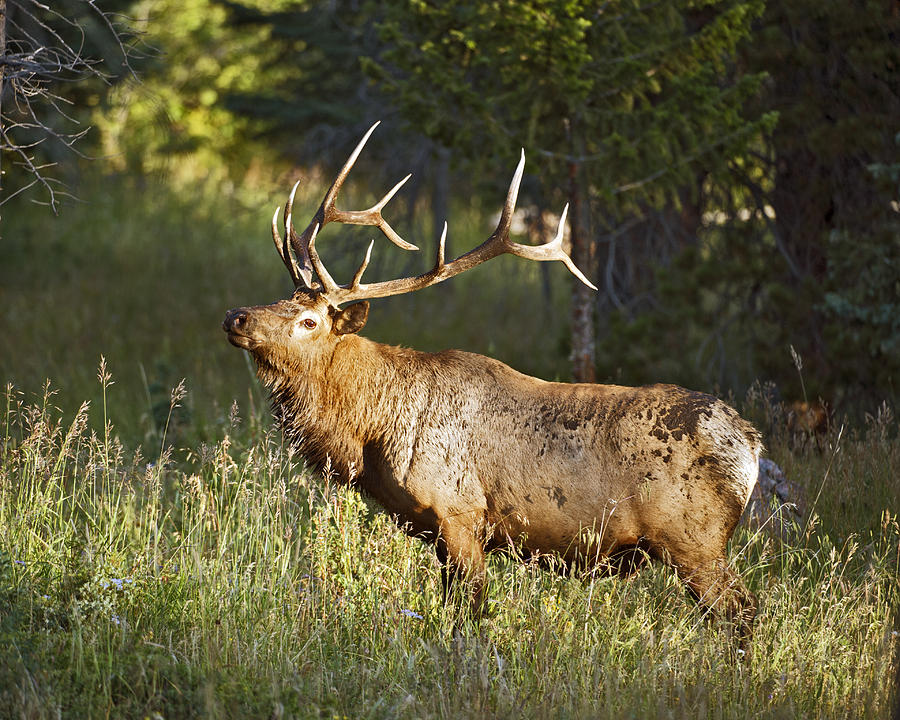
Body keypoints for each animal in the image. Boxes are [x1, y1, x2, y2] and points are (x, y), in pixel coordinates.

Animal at [221, 124, 764, 640]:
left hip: (694, 539)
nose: (235, 316)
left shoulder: (460, 513)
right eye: (280, 299)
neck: (373, 433)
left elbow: (471, 614)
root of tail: (750, 443)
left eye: (309, 320)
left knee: (744, 613)